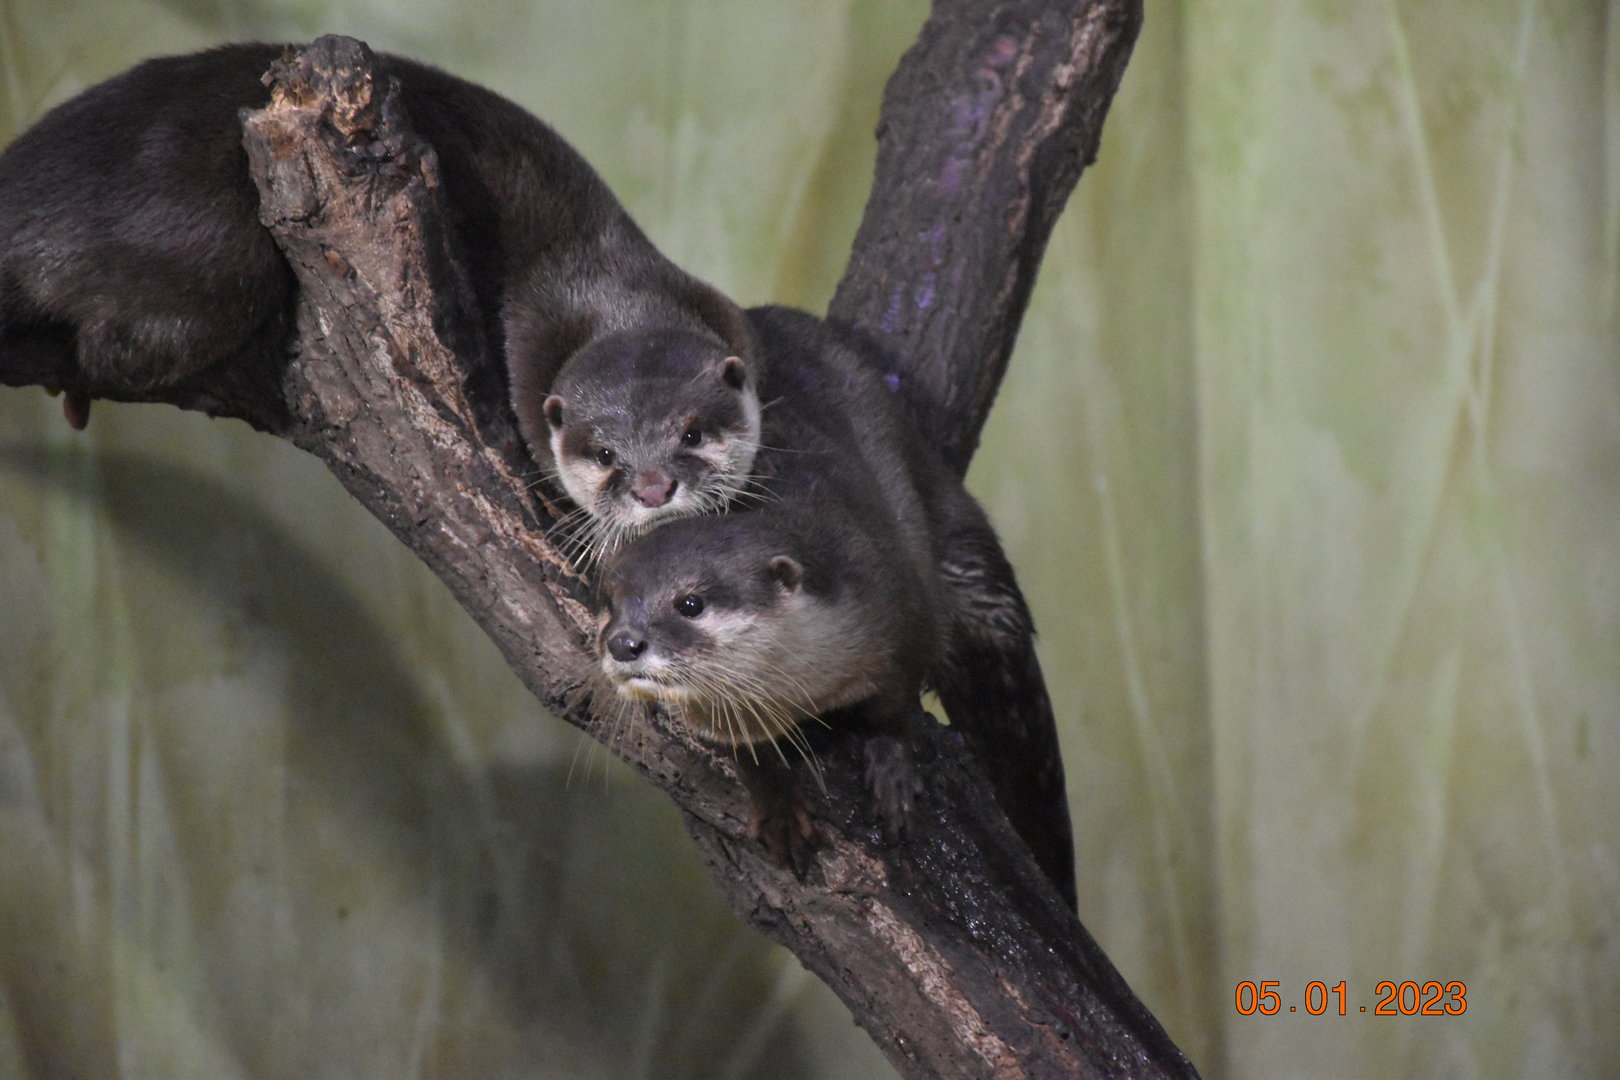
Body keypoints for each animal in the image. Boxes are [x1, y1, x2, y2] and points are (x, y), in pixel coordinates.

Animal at [0, 39, 755, 468]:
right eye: (599, 445)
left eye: (714, 415)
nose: (658, 486)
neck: (589, 259)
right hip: (211, 253)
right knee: (124, 346)